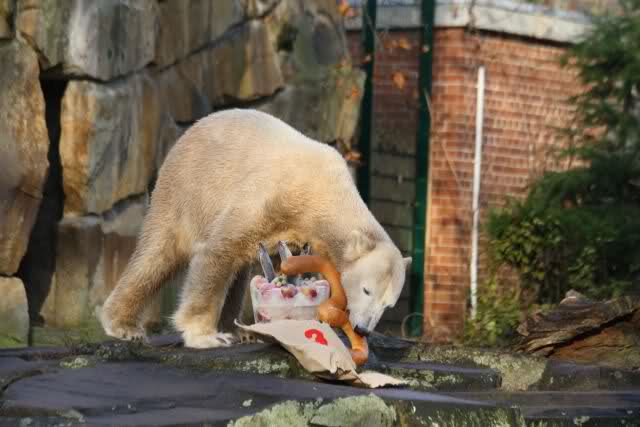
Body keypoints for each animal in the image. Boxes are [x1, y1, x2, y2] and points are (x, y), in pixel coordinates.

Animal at [100, 108, 411, 348]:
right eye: (367, 290)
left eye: (389, 304)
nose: (363, 329)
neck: (323, 195)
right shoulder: (270, 196)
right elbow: (218, 250)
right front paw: (205, 336)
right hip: (185, 191)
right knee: (159, 254)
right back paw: (123, 326)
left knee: (238, 271)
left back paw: (241, 330)